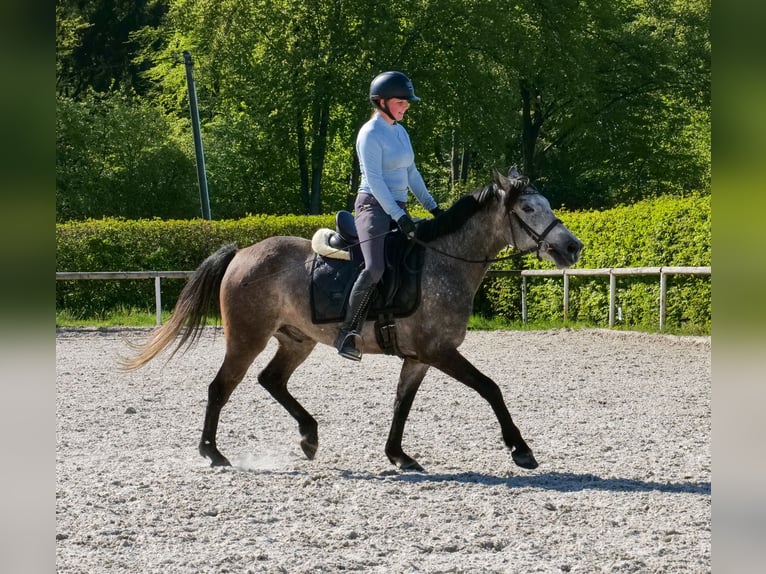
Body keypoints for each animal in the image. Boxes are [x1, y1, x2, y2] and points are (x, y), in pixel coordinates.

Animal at [121, 167, 583, 472]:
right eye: (529, 208)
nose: (572, 247)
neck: (443, 262)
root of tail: (242, 253)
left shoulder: (419, 357)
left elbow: (401, 404)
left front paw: (398, 455)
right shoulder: (440, 351)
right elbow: (490, 389)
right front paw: (520, 449)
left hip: (296, 340)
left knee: (272, 380)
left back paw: (309, 436)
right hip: (247, 338)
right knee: (220, 387)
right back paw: (212, 452)